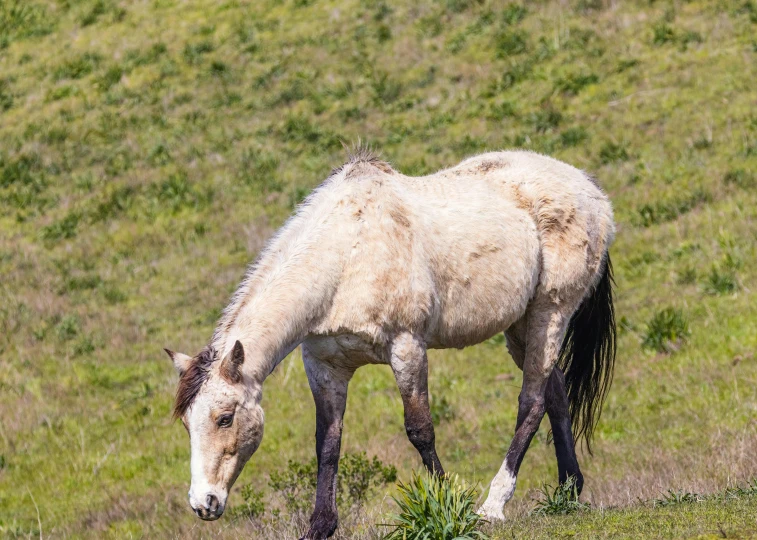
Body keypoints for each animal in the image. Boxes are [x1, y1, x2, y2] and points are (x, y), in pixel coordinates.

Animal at [164, 148, 616, 540]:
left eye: (225, 418)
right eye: (187, 424)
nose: (204, 503)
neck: (347, 252)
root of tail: (592, 189)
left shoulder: (406, 347)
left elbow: (421, 430)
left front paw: (450, 506)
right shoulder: (324, 366)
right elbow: (327, 443)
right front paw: (319, 527)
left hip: (550, 311)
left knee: (532, 401)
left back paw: (494, 505)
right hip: (520, 325)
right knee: (555, 392)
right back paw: (568, 490)